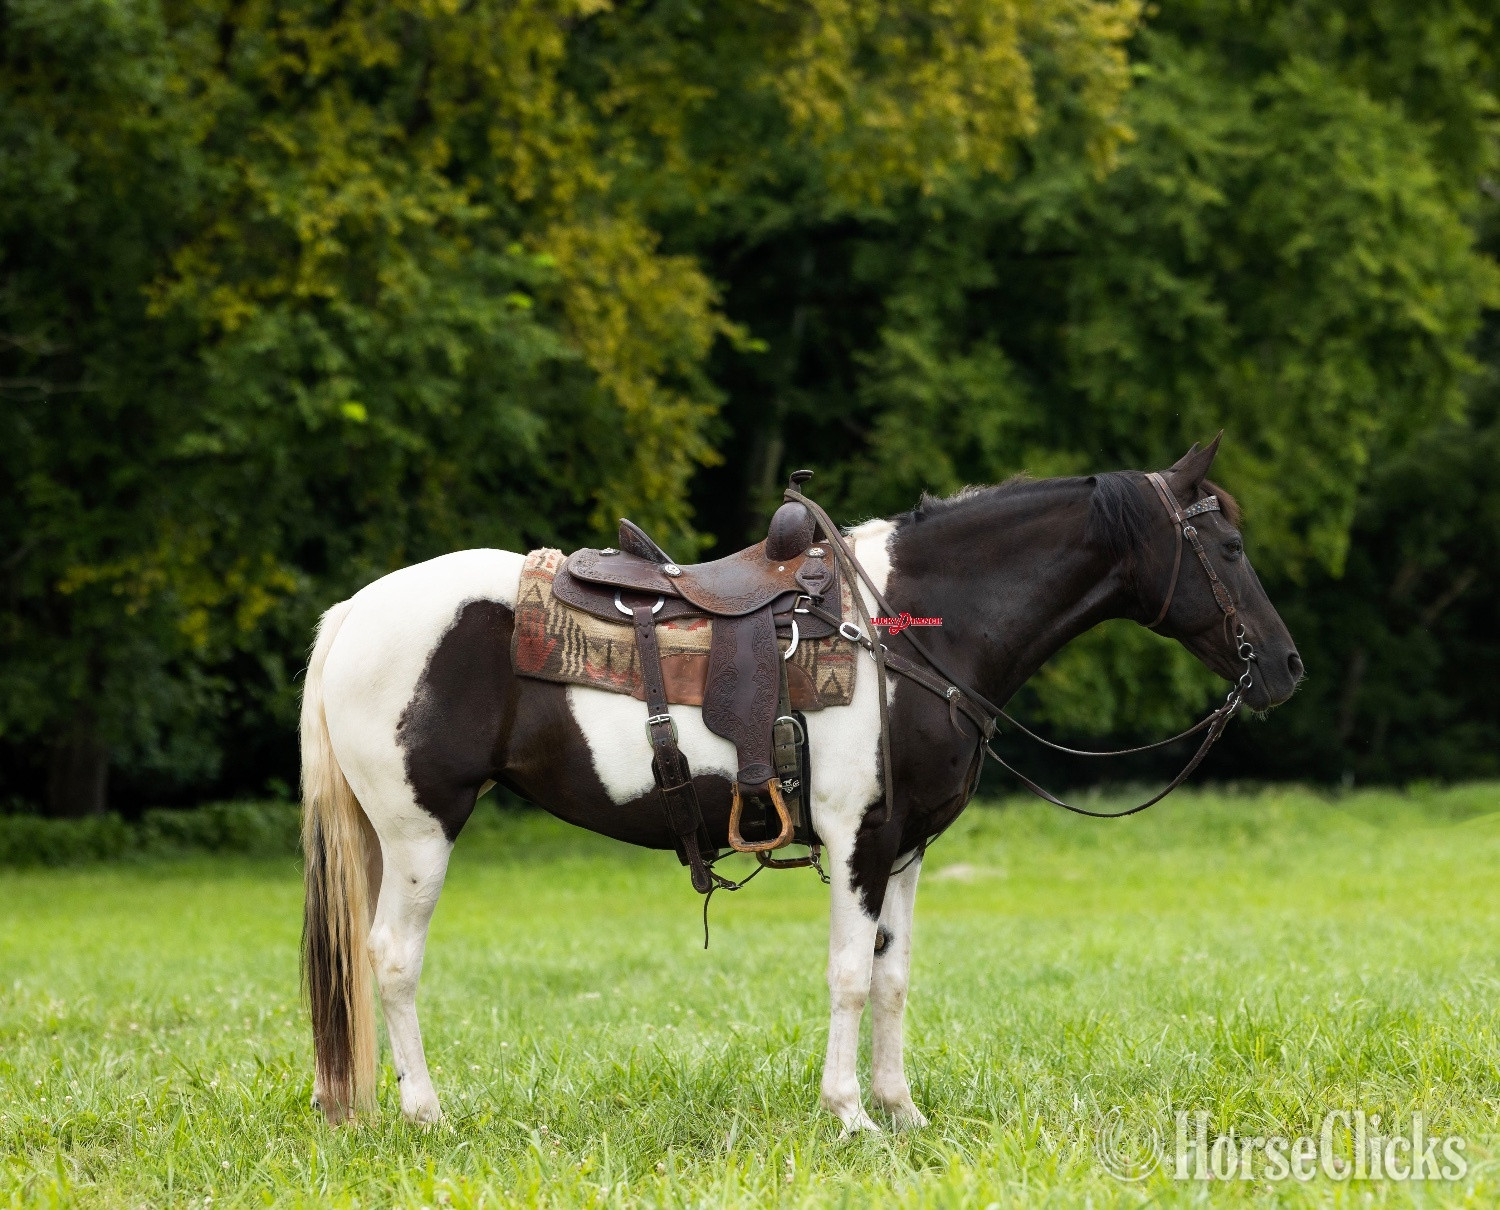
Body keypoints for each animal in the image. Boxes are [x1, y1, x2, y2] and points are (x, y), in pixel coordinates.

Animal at [298, 437, 1302, 1131]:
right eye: (1228, 544)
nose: (1286, 667)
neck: (907, 632)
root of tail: (355, 612)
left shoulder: (906, 846)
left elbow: (894, 976)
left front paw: (902, 1112)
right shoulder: (858, 836)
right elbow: (851, 974)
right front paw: (850, 1114)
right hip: (421, 830)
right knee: (391, 958)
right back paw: (428, 1113)